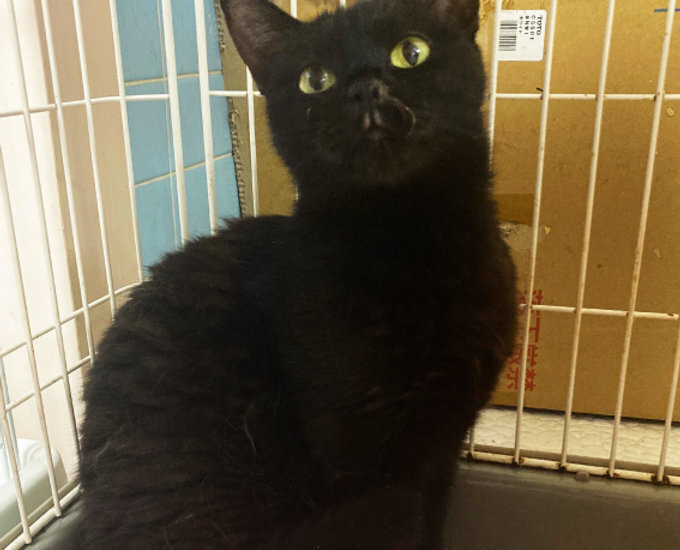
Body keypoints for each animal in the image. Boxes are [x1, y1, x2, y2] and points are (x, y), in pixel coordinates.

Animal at [78, 0, 517, 548]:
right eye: (315, 80)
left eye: (412, 52)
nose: (364, 87)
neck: (414, 247)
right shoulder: (362, 459)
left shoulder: (441, 453)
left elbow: (429, 525)